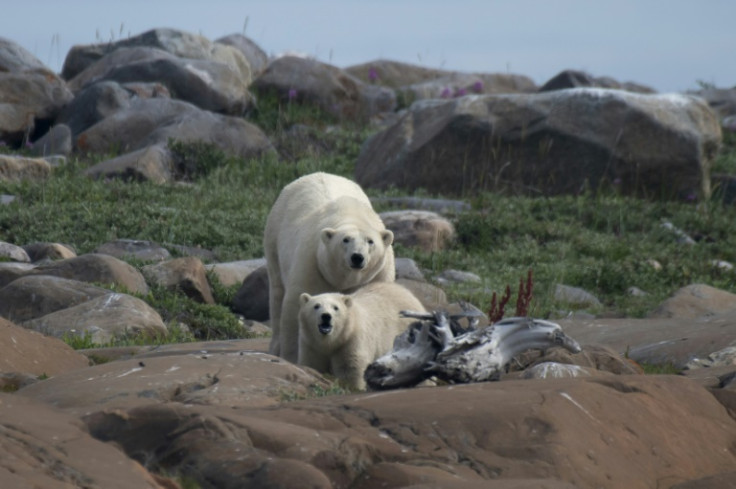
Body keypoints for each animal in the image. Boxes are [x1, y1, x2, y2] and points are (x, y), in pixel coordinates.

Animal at [262, 170, 394, 360]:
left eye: (370, 241)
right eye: (345, 240)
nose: (357, 257)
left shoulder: (379, 273)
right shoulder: (312, 263)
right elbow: (297, 307)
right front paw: (294, 358)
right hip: (274, 236)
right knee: (277, 293)